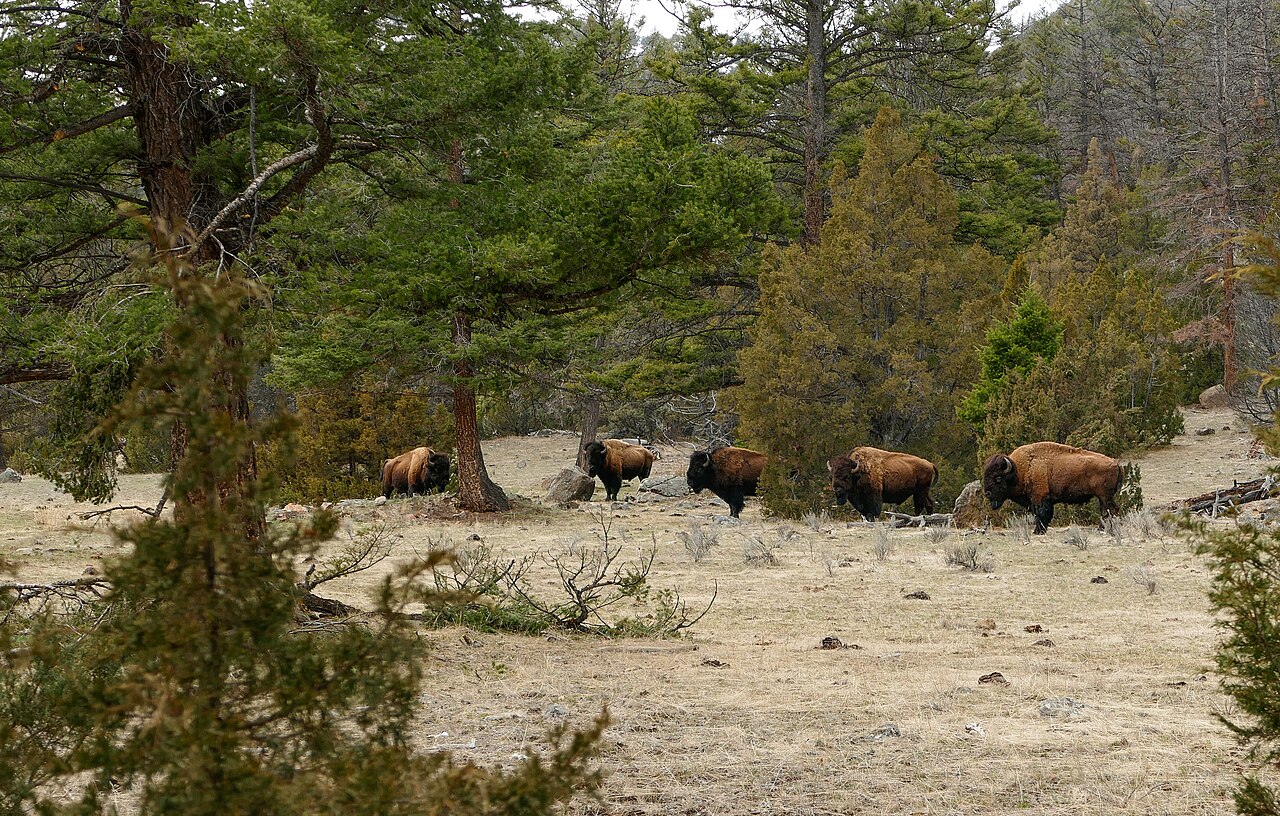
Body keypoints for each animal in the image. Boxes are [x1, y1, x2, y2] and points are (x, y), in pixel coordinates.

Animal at [982, 441, 1122, 534]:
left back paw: (1104, 529)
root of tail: (1116, 463)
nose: (987, 493)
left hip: (1104, 496)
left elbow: (1041, 514)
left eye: (998, 478)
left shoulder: (1040, 497)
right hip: (1105, 497)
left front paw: (1038, 531)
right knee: (1110, 510)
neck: (1020, 470)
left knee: (1108, 510)